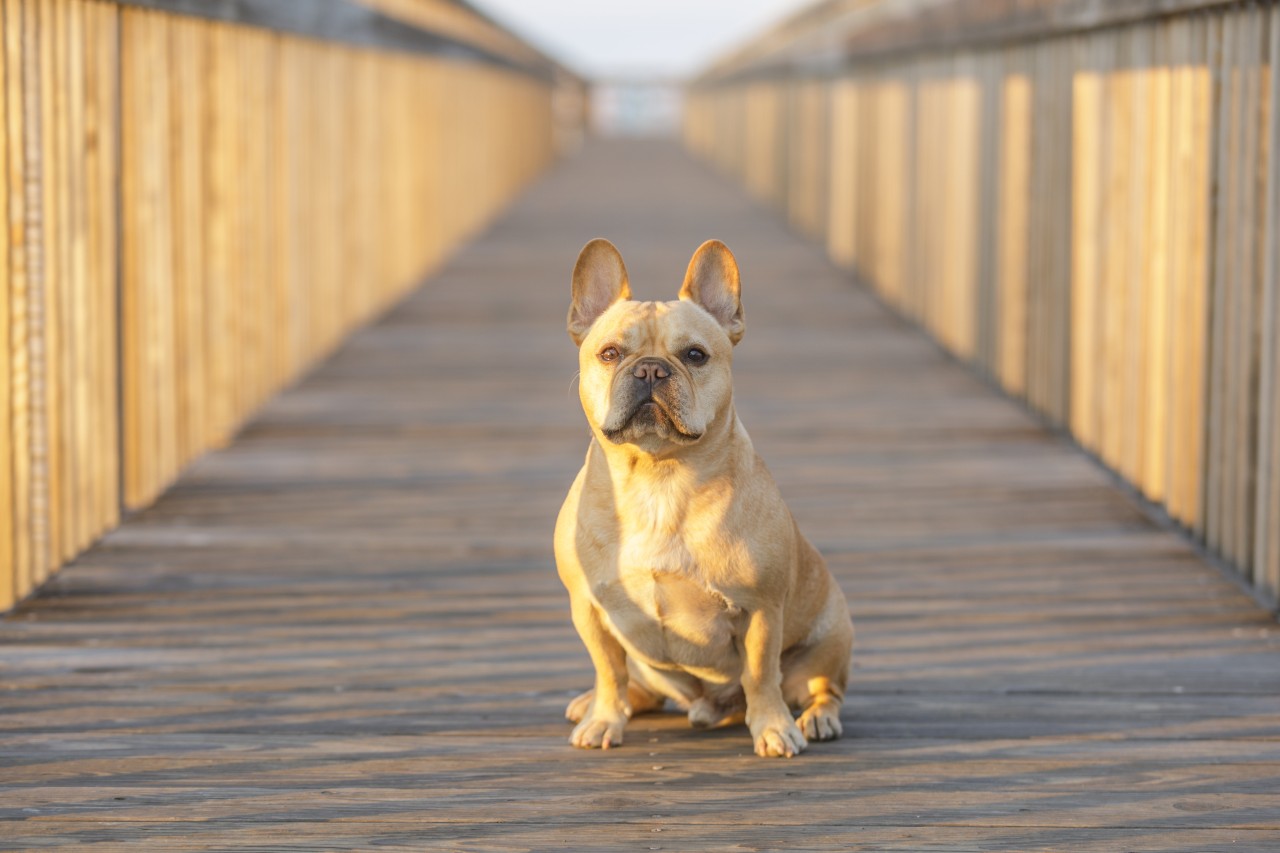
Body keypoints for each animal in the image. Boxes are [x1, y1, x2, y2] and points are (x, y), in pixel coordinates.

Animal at [555, 235, 855, 753]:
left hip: (831, 637)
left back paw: (815, 718)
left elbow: (761, 675)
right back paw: (593, 705)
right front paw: (604, 718)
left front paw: (773, 728)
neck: (658, 477)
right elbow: (608, 671)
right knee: (637, 686)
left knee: (819, 687)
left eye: (695, 355)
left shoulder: (761, 610)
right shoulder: (588, 609)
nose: (651, 369)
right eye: (610, 353)